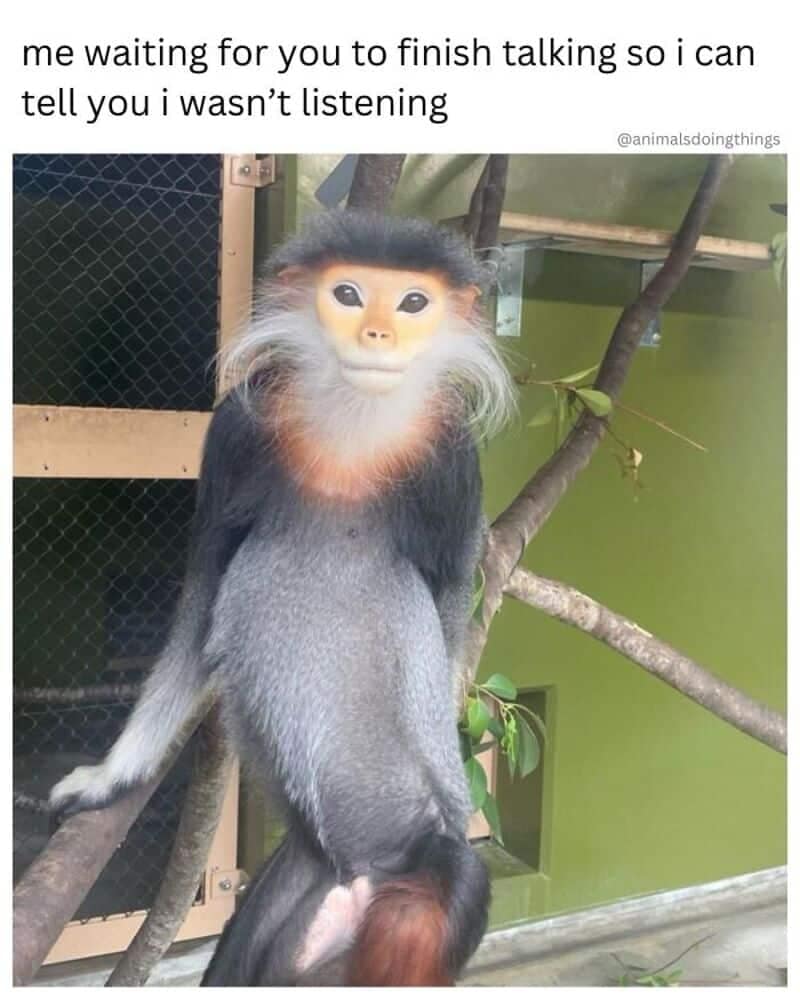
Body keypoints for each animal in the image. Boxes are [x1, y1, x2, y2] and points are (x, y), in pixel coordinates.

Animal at [50, 210, 515, 986]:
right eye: (349, 295)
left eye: (413, 303)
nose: (377, 334)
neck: (353, 431)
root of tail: (373, 866)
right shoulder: (234, 434)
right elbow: (201, 599)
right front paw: (113, 775)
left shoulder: (455, 465)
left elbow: (451, 612)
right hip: (301, 885)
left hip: (416, 869)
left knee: (452, 881)